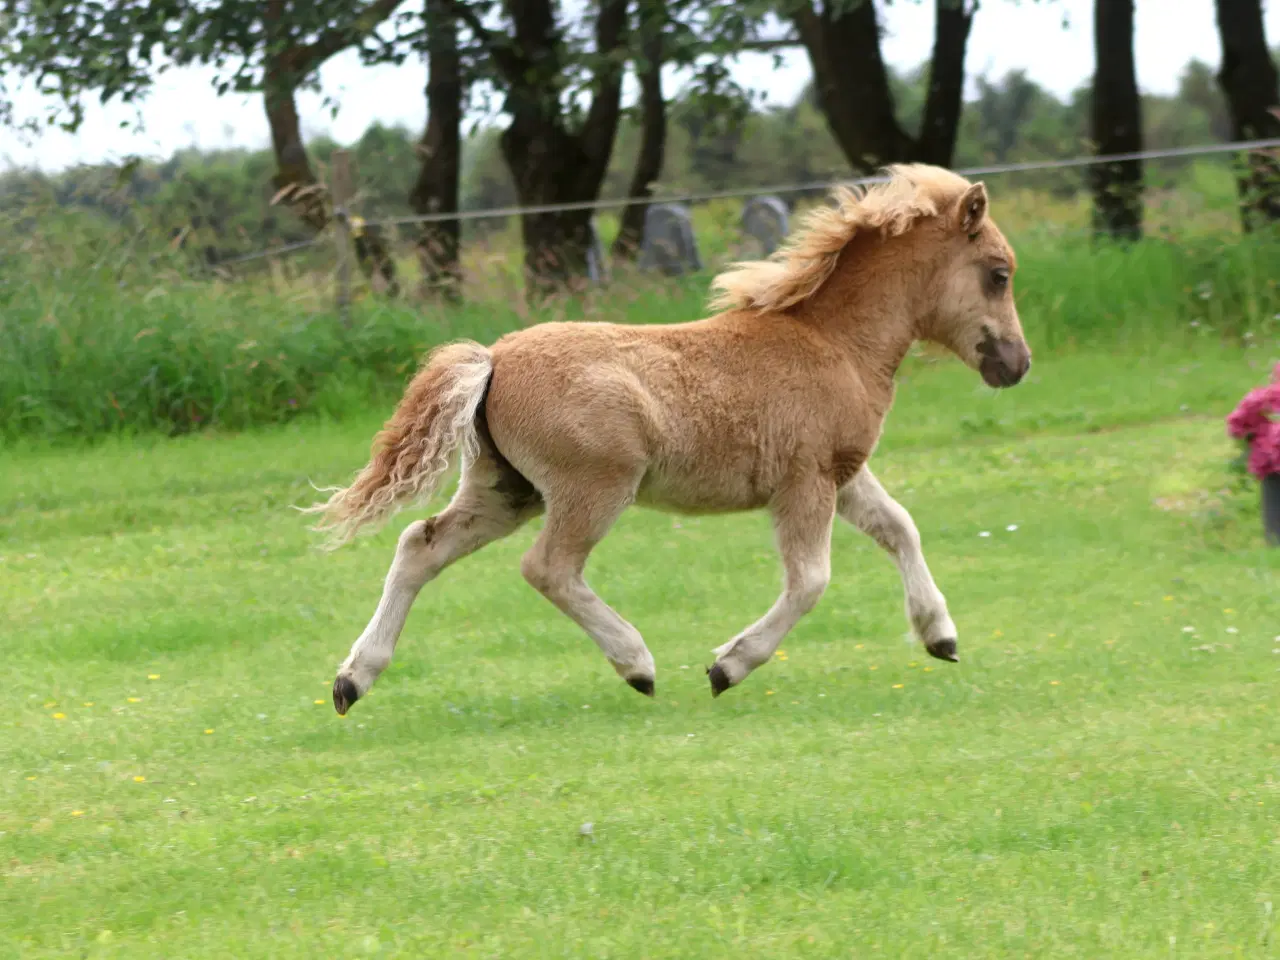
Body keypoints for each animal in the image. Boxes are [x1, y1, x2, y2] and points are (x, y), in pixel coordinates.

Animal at [307, 163, 1029, 716]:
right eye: (998, 273)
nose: (1017, 365)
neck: (832, 341)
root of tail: (493, 358)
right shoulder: (806, 482)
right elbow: (810, 581)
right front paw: (729, 665)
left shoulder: (842, 473)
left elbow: (899, 527)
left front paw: (940, 635)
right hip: (593, 488)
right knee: (548, 568)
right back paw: (637, 663)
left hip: (506, 491)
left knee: (420, 546)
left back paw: (352, 679)